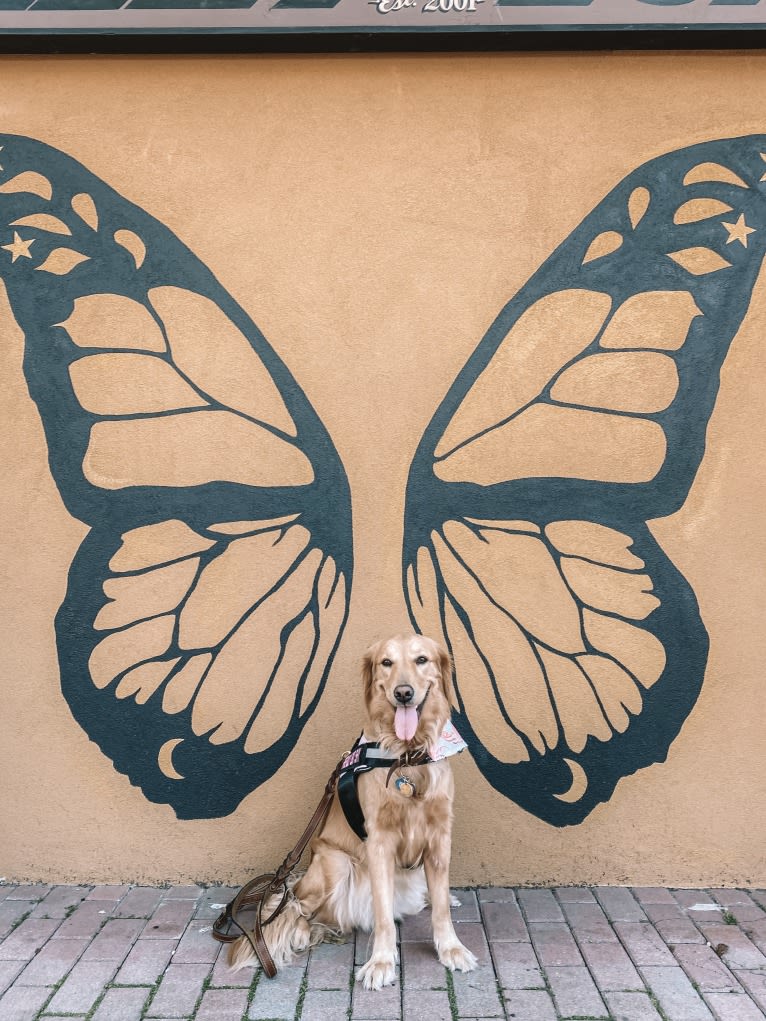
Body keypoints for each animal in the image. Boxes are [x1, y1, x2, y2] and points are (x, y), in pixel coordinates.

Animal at [229, 628, 480, 988]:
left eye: (421, 659)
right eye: (386, 662)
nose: (403, 693)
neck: (407, 755)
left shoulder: (439, 835)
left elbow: (442, 910)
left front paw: (451, 948)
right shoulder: (379, 841)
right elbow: (383, 915)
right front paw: (381, 962)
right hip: (334, 864)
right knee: (296, 905)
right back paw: (303, 931)